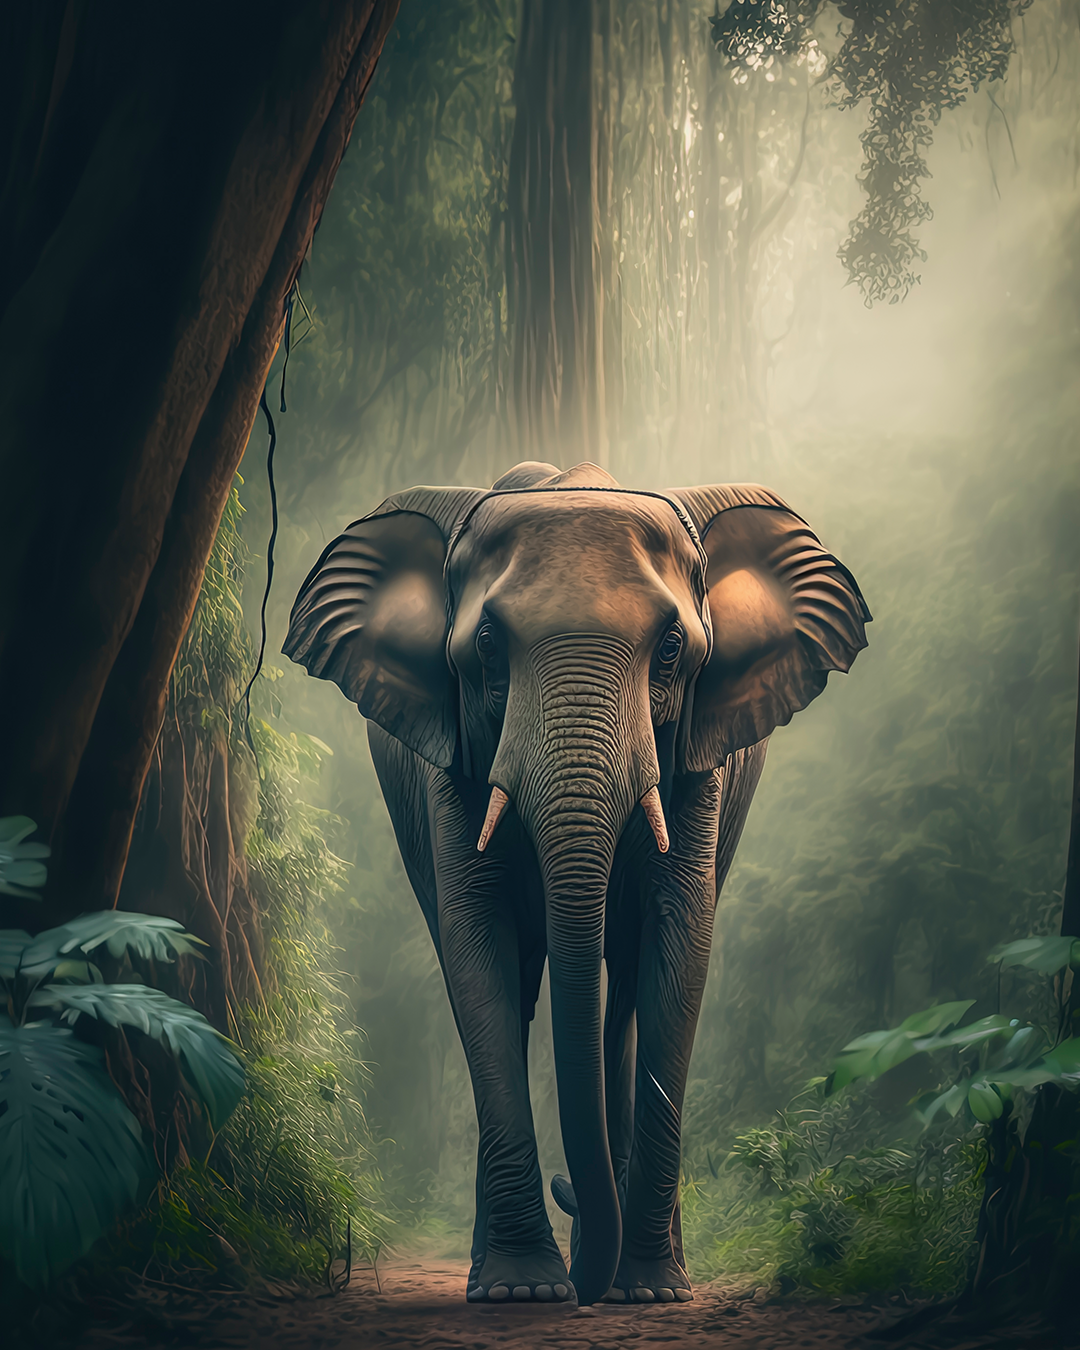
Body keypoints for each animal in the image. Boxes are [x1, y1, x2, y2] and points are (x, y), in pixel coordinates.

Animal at [283, 460, 869, 1307]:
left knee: (621, 994)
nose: (584, 1274)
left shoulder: (700, 763)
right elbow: (478, 940)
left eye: (671, 649)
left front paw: (652, 1293)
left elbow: (678, 937)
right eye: (486, 644)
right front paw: (521, 1292)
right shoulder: (449, 759)